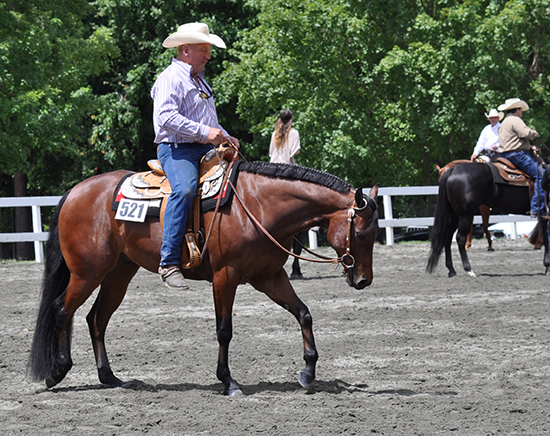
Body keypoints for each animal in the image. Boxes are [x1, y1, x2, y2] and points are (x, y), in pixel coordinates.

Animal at [29, 163, 380, 396]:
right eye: (362, 234)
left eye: (376, 233)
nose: (364, 280)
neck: (257, 206)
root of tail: (74, 192)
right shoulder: (225, 277)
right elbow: (224, 331)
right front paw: (228, 381)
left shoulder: (269, 276)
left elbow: (304, 313)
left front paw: (308, 371)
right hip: (87, 272)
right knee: (62, 309)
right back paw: (58, 371)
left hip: (118, 274)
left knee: (96, 319)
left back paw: (110, 377)